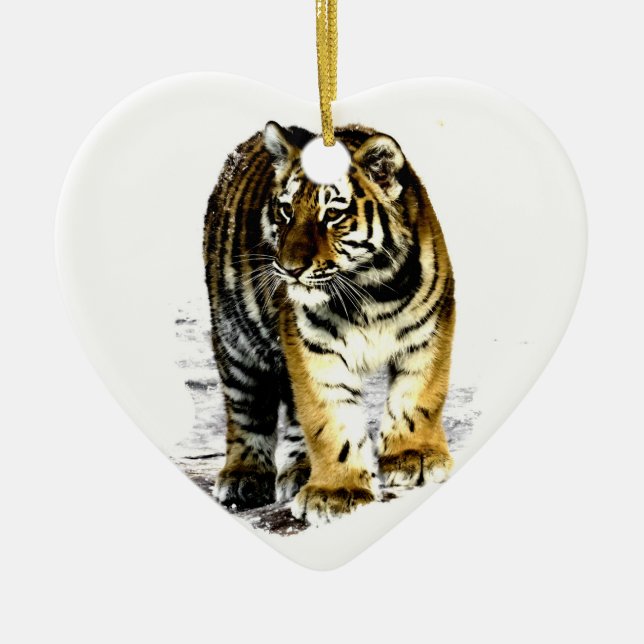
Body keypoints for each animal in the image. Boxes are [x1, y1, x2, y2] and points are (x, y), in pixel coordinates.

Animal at [203, 121, 455, 526]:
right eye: (286, 211)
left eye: (332, 215)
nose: (289, 269)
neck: (371, 289)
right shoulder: (313, 346)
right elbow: (329, 419)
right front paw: (337, 493)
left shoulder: (429, 329)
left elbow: (419, 396)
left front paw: (414, 458)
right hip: (235, 340)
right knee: (246, 409)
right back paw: (244, 477)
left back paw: (300, 470)